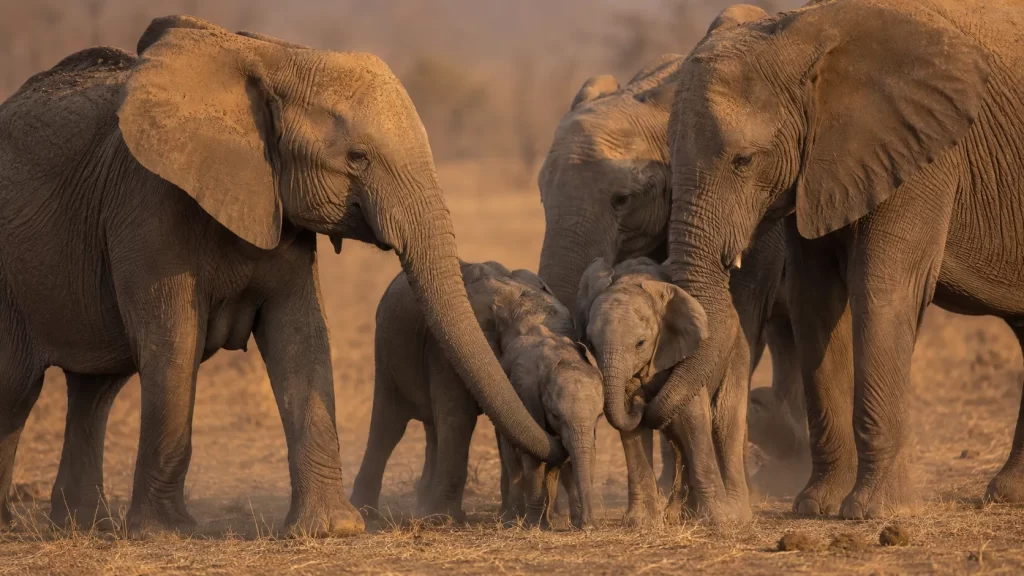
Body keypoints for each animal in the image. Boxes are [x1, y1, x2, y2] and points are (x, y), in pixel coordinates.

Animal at [0, 14, 562, 537]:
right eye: (357, 158)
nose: (554, 446)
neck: (274, 57)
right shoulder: (148, 203)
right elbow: (173, 344)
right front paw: (167, 532)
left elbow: (301, 337)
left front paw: (333, 529)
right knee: (19, 388)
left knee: (94, 389)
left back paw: (82, 525)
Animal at [351, 262, 601, 529]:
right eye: (553, 414)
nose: (588, 525)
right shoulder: (443, 351)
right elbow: (458, 416)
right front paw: (445, 519)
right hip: (386, 352)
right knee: (389, 426)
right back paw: (369, 512)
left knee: (432, 429)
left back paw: (423, 506)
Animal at [656, 0, 1024, 520]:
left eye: (744, 161)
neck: (804, 33)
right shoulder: (818, 171)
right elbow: (815, 301)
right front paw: (815, 506)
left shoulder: (923, 152)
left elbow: (881, 288)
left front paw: (874, 512)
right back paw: (1009, 494)